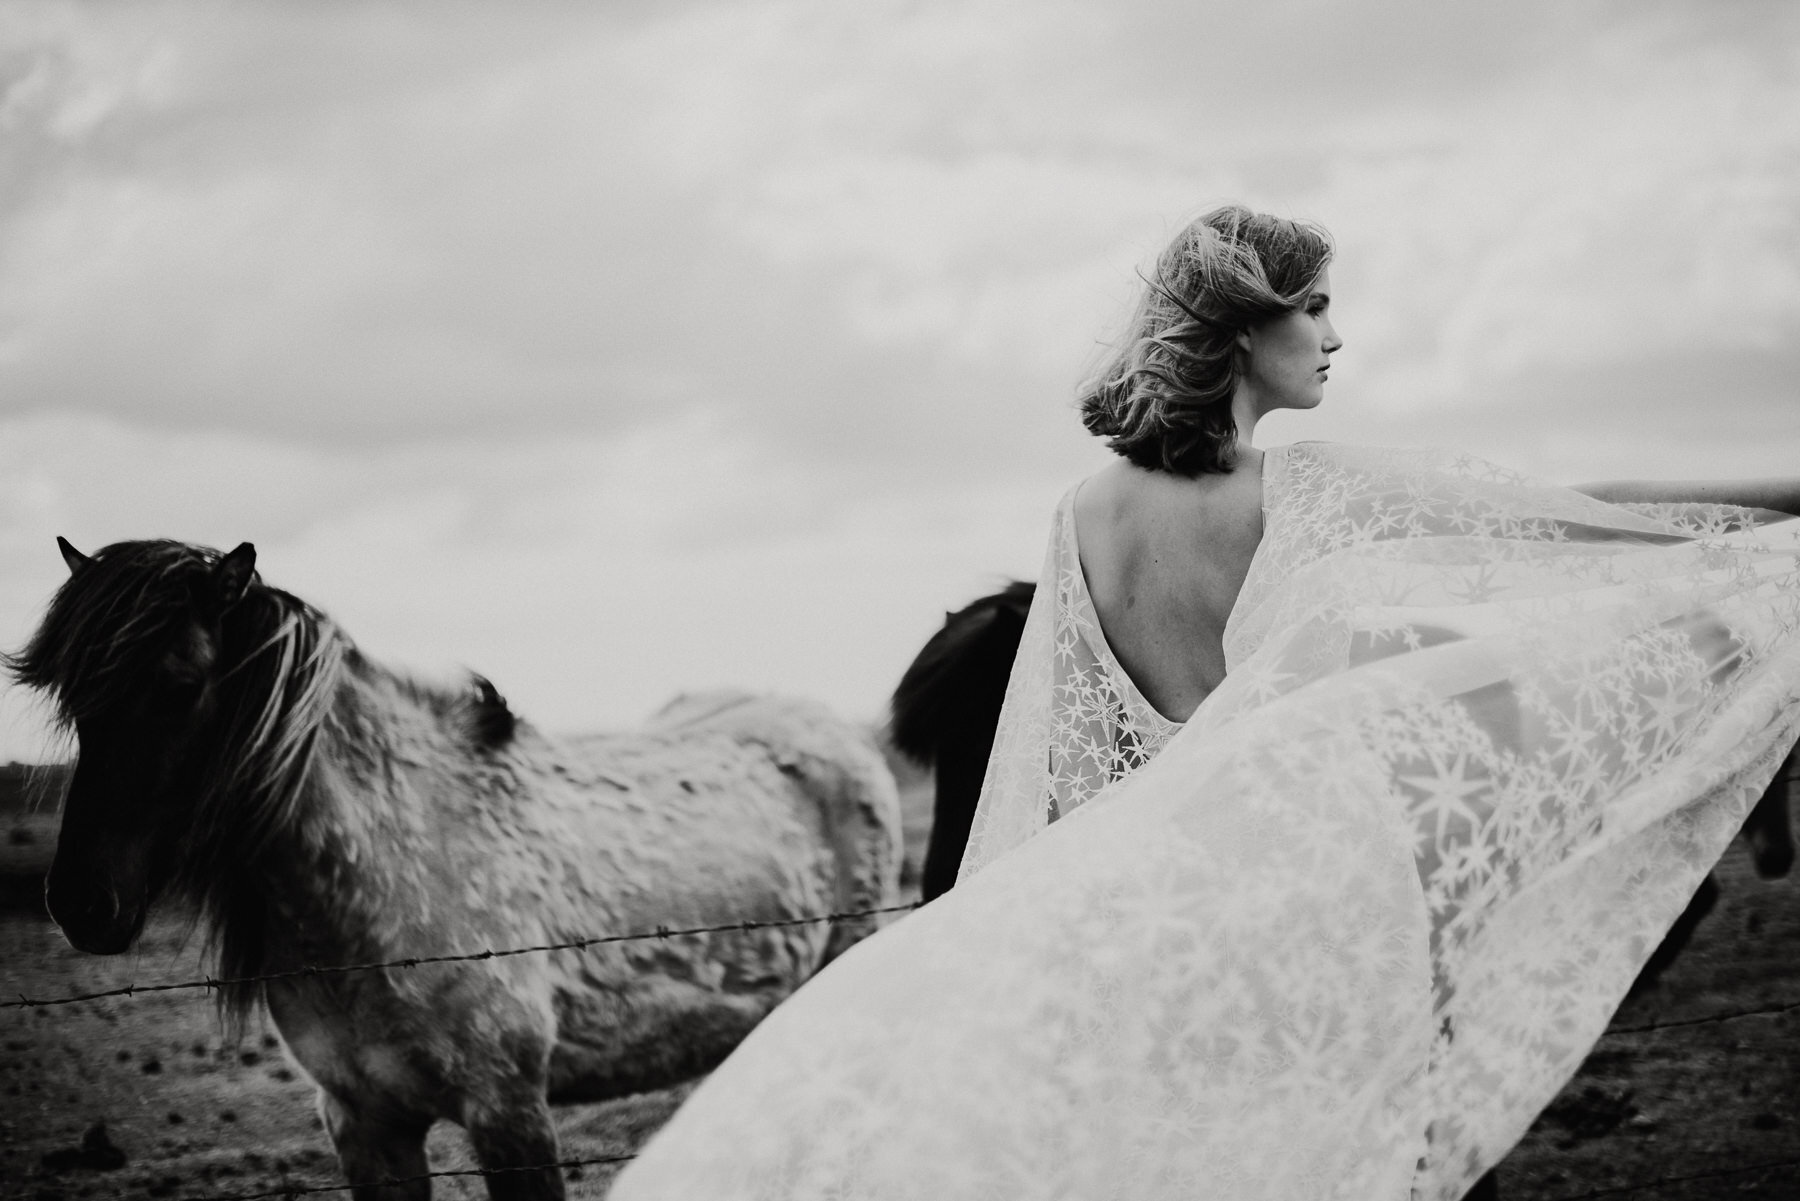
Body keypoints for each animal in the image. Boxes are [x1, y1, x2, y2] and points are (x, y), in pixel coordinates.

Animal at [12, 536, 900, 1201]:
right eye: (74, 702)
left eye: (182, 686)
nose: (82, 903)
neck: (392, 869)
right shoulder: (364, 1123)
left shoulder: (509, 1113)